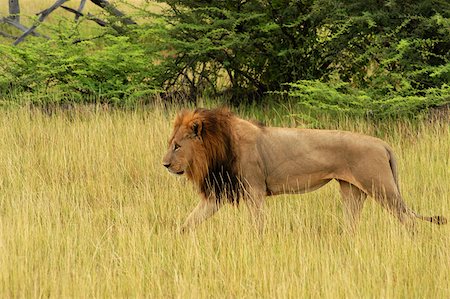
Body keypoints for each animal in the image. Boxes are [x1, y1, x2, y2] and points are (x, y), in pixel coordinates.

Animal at [162, 108, 446, 234]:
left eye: (177, 146)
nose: (164, 165)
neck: (217, 146)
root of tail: (383, 143)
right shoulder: (219, 193)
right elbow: (189, 221)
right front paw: (174, 240)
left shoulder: (254, 190)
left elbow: (257, 224)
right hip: (352, 191)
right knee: (352, 223)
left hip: (382, 188)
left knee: (409, 221)